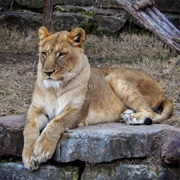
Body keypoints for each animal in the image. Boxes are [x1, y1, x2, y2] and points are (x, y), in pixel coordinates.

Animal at [21, 26, 174, 170]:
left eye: (62, 54)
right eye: (44, 53)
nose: (47, 72)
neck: (55, 89)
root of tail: (161, 91)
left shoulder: (76, 111)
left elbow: (55, 123)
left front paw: (42, 150)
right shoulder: (36, 110)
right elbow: (29, 129)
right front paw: (28, 155)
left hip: (114, 77)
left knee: (152, 113)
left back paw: (133, 118)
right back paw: (126, 115)